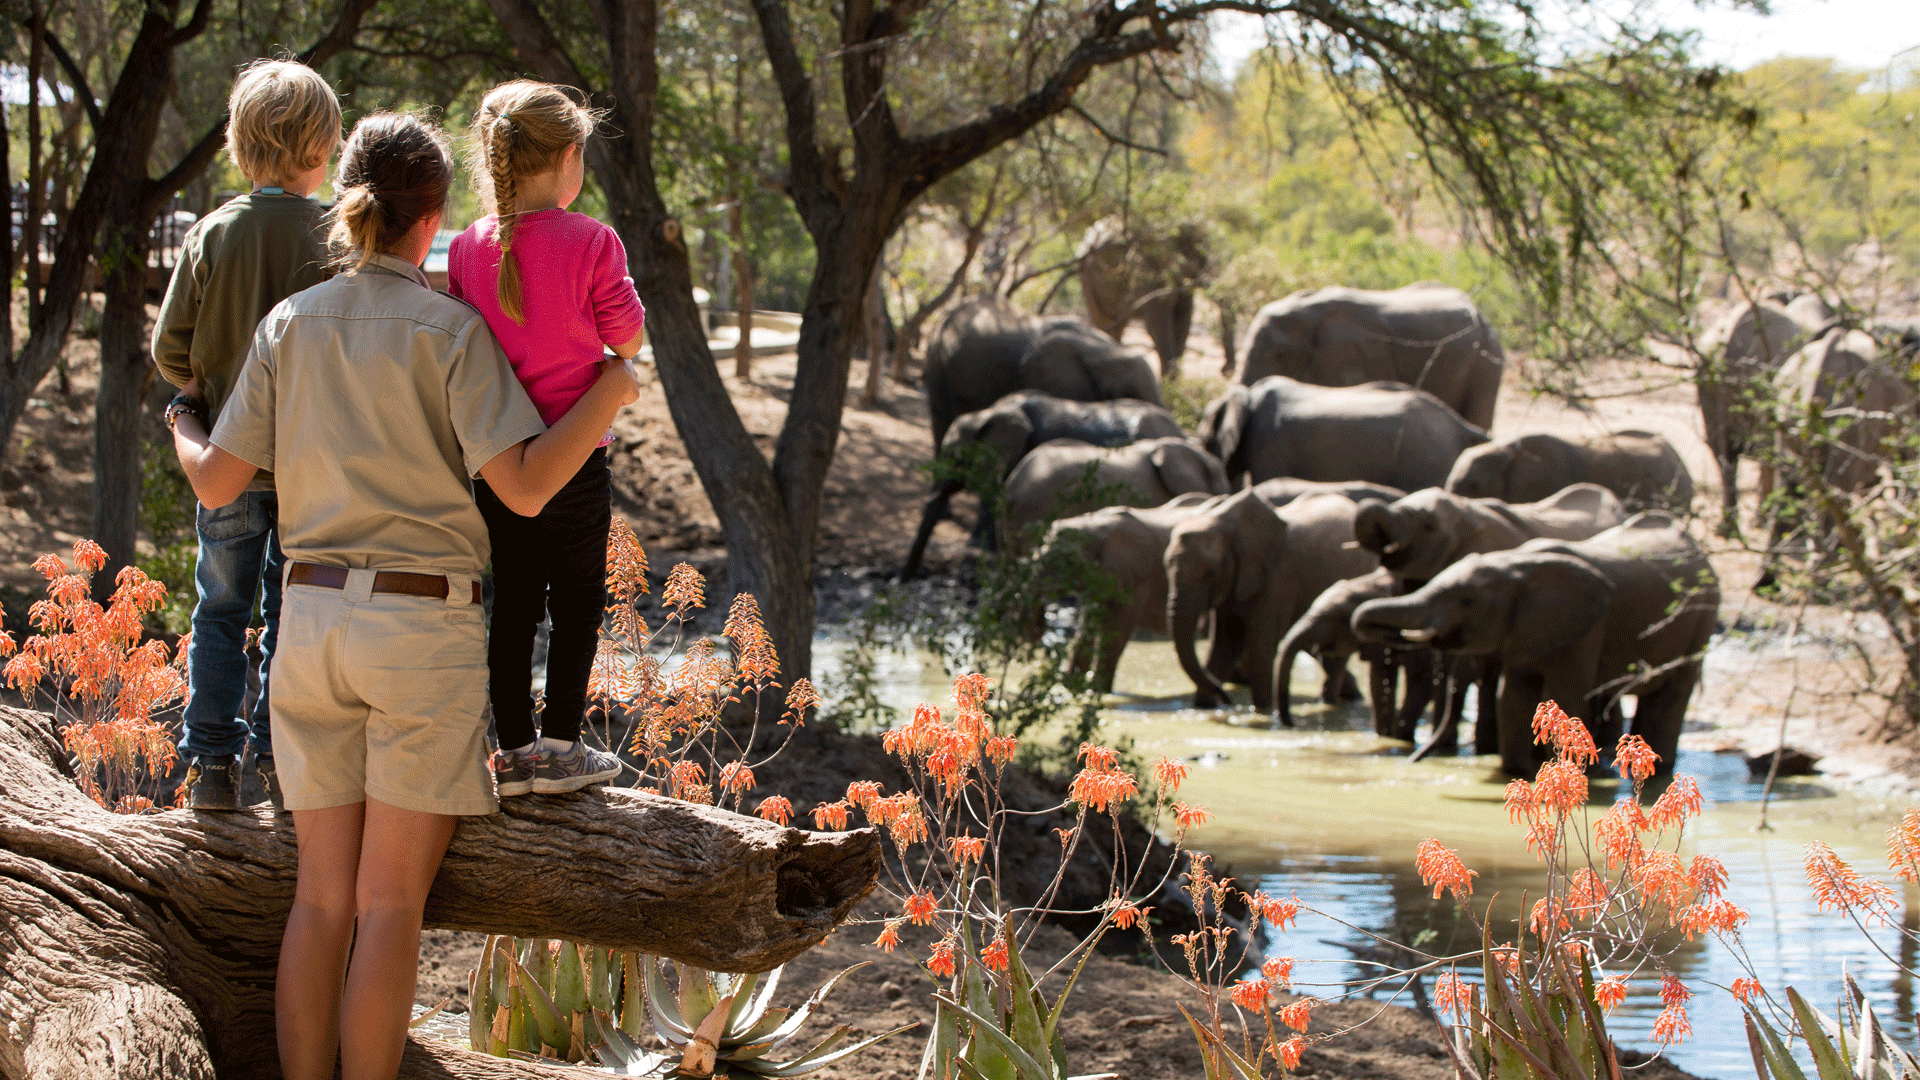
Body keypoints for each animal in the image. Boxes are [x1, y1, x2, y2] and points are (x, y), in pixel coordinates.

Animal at [1038, 494, 1219, 693]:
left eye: (1065, 562)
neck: (1093, 524)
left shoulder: (1137, 577)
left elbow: (1117, 628)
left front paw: (1099, 692)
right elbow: (1087, 627)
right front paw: (1069, 690)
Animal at [1077, 218, 1209, 379]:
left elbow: (1182, 323)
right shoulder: (1146, 268)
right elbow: (1157, 324)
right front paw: (1169, 385)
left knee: (1116, 326)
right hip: (1087, 276)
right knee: (1105, 322)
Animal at [1165, 491, 1378, 710]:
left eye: (1210, 573)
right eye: (1166, 568)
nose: (1226, 699)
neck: (1223, 522)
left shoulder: (1278, 576)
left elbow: (1260, 646)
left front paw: (1263, 710)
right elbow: (1224, 644)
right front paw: (1205, 707)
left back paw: (1331, 702)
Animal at [1352, 511, 1720, 778]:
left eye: (1467, 600)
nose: (1409, 761)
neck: (1516, 565)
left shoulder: (1585, 627)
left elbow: (1565, 694)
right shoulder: (1526, 628)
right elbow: (1514, 697)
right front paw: (1517, 773)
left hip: (1702, 618)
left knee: (1673, 694)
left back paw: (1659, 770)